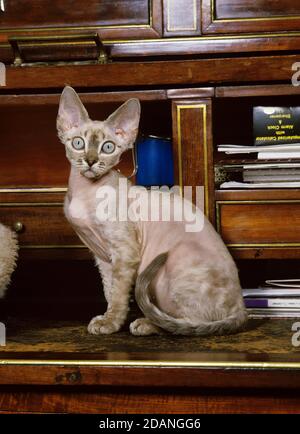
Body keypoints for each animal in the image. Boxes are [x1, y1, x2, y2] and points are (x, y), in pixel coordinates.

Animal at [56, 86, 246, 338]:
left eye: (108, 147)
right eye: (78, 143)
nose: (90, 161)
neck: (84, 191)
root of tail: (243, 309)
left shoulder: (124, 252)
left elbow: (118, 294)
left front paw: (111, 323)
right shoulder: (103, 257)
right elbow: (110, 290)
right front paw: (107, 318)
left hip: (173, 269)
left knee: (187, 324)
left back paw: (146, 324)